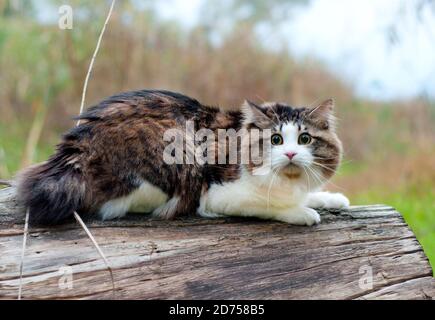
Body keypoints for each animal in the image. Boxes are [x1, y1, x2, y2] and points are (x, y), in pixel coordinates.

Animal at [17, 89, 350, 226]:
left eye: (305, 139)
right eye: (276, 140)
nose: (291, 153)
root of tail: (77, 146)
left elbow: (308, 194)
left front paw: (330, 199)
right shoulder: (219, 195)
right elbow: (269, 204)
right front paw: (302, 212)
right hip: (179, 153)